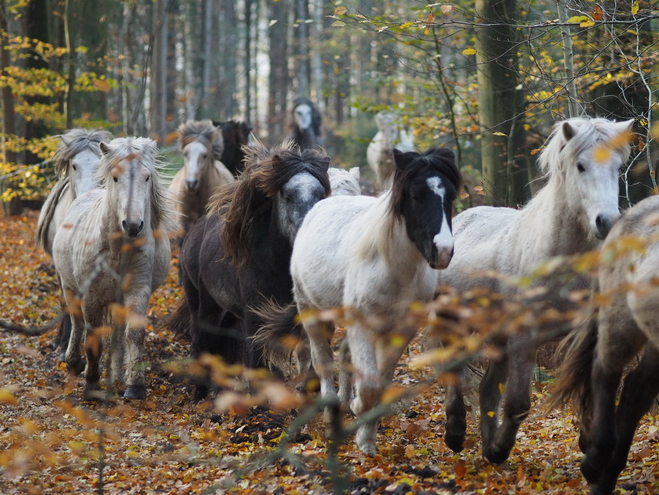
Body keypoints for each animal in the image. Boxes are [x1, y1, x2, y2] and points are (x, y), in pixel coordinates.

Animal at [52, 138, 177, 402]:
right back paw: (73, 362)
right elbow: (93, 339)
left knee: (119, 335)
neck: (118, 250)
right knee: (76, 322)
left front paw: (135, 386)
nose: (133, 225)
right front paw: (91, 385)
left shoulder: (137, 291)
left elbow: (133, 335)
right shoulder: (91, 297)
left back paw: (117, 379)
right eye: (115, 177)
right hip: (70, 288)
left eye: (147, 177)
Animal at [255, 146, 462, 454]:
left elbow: (379, 384)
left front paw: (366, 436)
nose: (443, 251)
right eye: (415, 196)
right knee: (322, 360)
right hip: (311, 312)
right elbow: (369, 387)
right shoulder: (363, 327)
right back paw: (331, 414)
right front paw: (361, 428)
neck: (392, 268)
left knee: (342, 354)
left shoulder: (401, 331)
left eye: (450, 196)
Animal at [434, 116, 636, 464]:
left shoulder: (587, 336)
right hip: (455, 323)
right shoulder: (524, 337)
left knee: (487, 388)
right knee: (454, 371)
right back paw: (457, 433)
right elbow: (518, 403)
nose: (607, 222)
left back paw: (485, 446)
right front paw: (501, 448)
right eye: (580, 166)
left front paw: (589, 444)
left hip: (498, 337)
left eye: (617, 167)